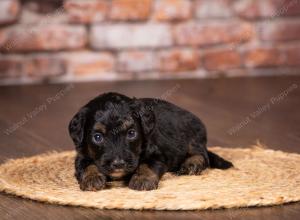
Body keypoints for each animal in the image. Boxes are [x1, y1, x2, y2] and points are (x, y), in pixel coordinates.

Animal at [68, 92, 232, 191]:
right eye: (97, 137)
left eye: (131, 133)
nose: (119, 164)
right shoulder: (81, 154)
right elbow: (86, 165)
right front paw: (92, 178)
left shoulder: (157, 153)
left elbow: (147, 164)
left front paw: (142, 179)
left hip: (193, 134)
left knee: (203, 155)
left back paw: (192, 164)